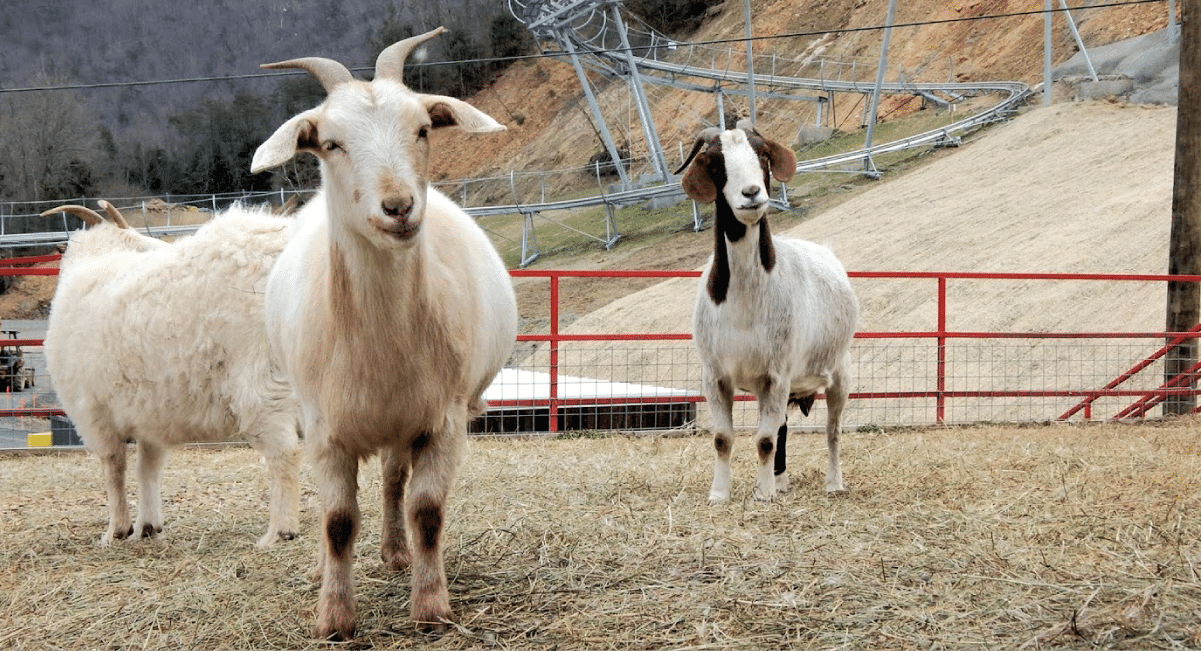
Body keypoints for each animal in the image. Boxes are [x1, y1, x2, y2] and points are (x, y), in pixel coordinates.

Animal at [42, 202, 301, 547]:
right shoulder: (149, 418)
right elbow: (148, 468)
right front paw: (147, 526)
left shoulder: (93, 414)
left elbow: (114, 468)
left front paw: (116, 530)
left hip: (261, 381)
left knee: (285, 452)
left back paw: (279, 532)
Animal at [249, 27, 517, 639]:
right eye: (330, 143)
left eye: (422, 129)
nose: (398, 207)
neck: (378, 344)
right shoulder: (324, 429)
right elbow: (337, 521)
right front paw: (334, 616)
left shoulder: (442, 419)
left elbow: (426, 512)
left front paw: (431, 606)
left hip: (404, 421)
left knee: (395, 483)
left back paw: (397, 553)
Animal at [676, 124, 859, 503]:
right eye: (714, 162)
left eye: (762, 154)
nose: (751, 193)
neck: (745, 302)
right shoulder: (715, 375)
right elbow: (723, 438)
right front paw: (720, 494)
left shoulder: (776, 373)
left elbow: (763, 439)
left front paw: (763, 495)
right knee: (783, 430)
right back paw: (782, 481)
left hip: (839, 370)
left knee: (832, 431)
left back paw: (834, 483)